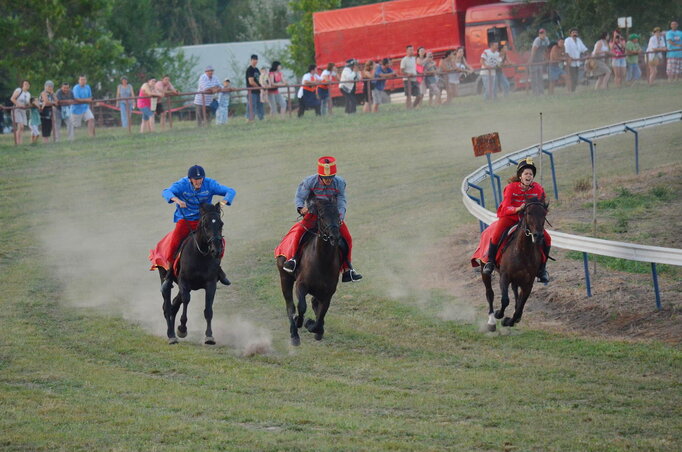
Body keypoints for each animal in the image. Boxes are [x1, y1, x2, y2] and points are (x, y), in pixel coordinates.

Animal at [158, 203, 224, 344]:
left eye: (221, 224)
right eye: (206, 225)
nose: (216, 250)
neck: (199, 254)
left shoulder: (211, 284)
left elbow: (208, 309)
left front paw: (209, 336)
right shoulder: (184, 282)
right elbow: (186, 300)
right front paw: (182, 329)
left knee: (174, 304)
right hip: (164, 276)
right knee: (167, 305)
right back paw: (171, 335)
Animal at [274, 197, 340, 346]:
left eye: (338, 215)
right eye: (322, 216)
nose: (335, 236)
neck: (322, 260)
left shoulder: (328, 293)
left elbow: (321, 316)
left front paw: (313, 326)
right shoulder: (301, 285)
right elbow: (301, 307)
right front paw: (301, 322)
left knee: (315, 304)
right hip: (285, 278)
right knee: (290, 306)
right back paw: (294, 334)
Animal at [478, 201, 548, 332]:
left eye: (544, 213)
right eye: (528, 213)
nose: (538, 236)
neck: (524, 251)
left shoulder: (528, 283)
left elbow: (520, 306)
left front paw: (509, 321)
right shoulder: (504, 277)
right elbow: (505, 300)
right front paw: (499, 314)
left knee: (515, 293)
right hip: (484, 268)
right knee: (489, 293)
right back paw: (491, 322)